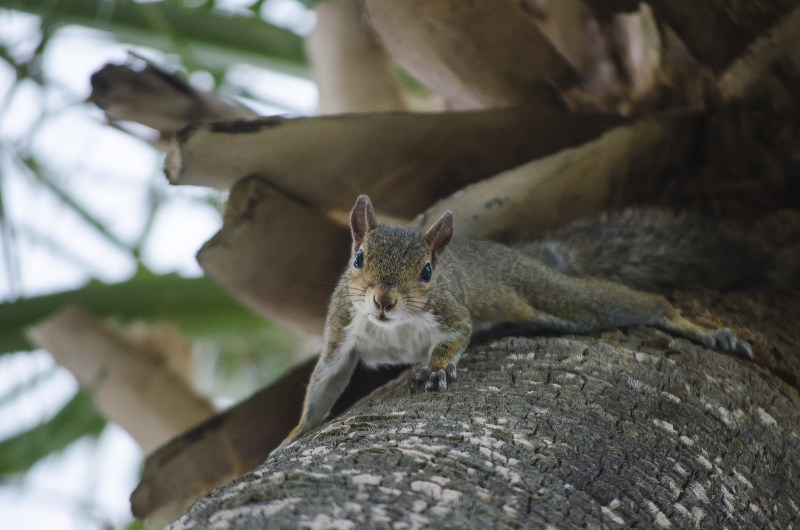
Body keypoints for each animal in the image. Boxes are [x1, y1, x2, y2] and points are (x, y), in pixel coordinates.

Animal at [278, 194, 764, 446]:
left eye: (428, 272)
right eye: (359, 258)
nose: (383, 300)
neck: (391, 327)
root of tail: (528, 256)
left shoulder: (451, 311)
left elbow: (458, 335)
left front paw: (436, 369)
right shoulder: (342, 329)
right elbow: (326, 381)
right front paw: (295, 433)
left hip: (559, 298)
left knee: (638, 302)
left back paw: (699, 326)